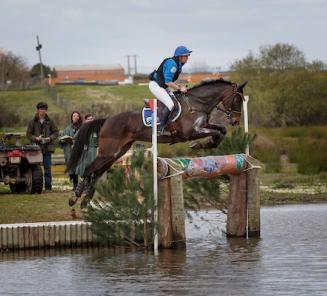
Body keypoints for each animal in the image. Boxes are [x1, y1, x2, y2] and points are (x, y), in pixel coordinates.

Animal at [67, 78, 246, 206]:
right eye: (237, 100)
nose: (236, 121)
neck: (197, 104)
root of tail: (107, 120)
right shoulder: (191, 132)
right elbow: (216, 132)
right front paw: (200, 145)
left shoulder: (204, 126)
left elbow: (221, 130)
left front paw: (209, 143)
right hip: (108, 152)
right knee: (89, 170)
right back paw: (76, 196)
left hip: (117, 153)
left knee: (97, 172)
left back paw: (85, 198)